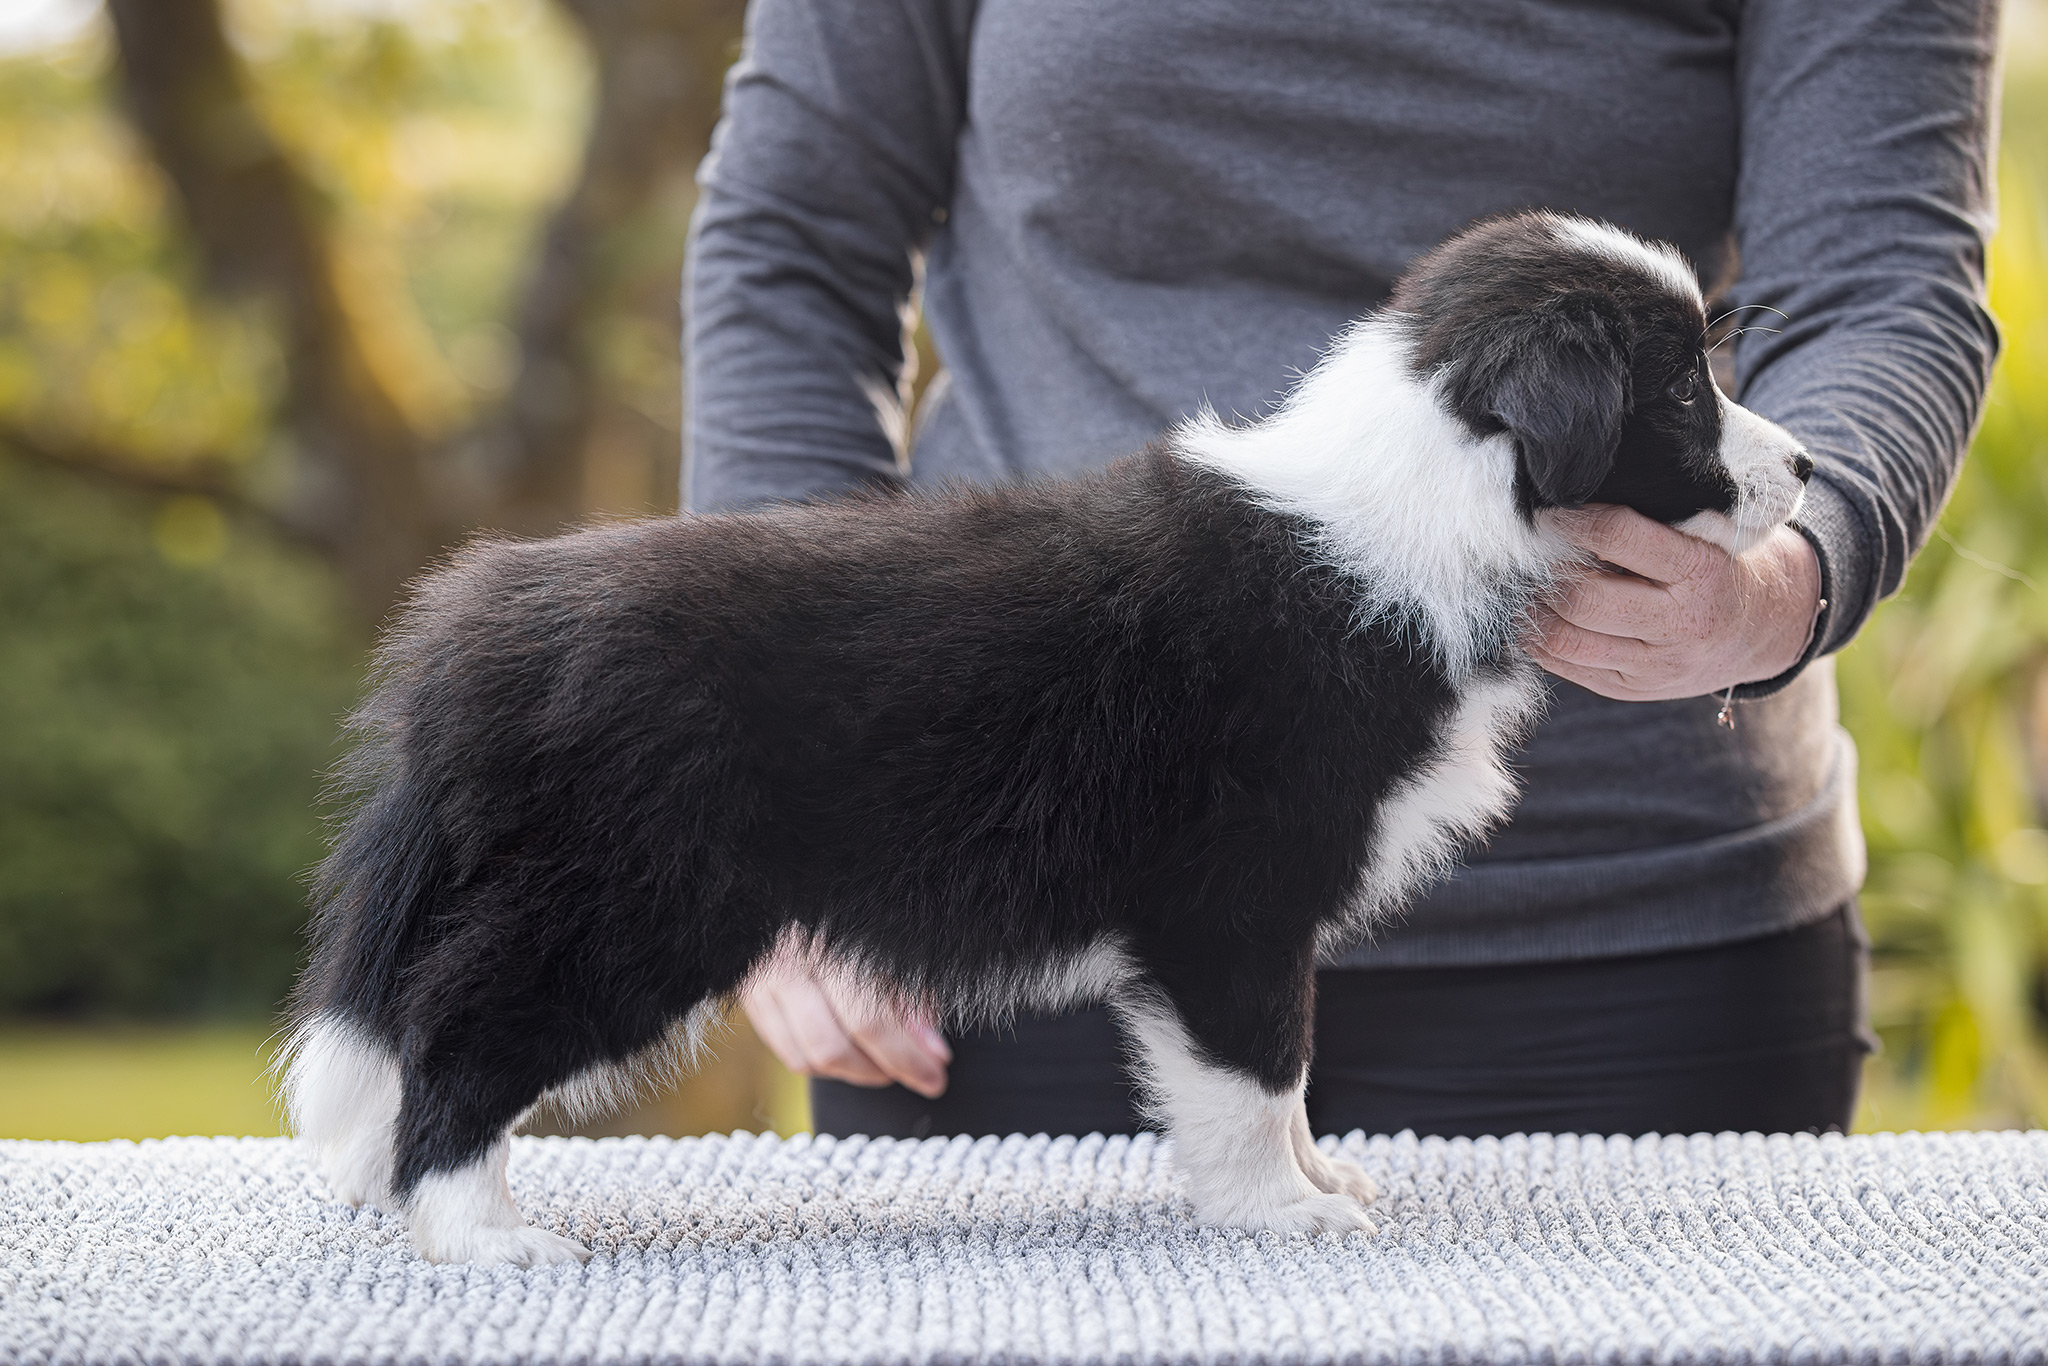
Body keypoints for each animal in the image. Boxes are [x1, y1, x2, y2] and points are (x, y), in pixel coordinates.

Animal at [284, 214, 1810, 1269]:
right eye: (1683, 390)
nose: (1804, 471)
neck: (1425, 495)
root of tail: (478, 632)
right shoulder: (1233, 898)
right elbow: (1261, 1066)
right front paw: (1282, 1210)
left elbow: (1282, 1076)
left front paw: (1314, 1181)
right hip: (636, 901)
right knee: (459, 1030)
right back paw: (478, 1231)